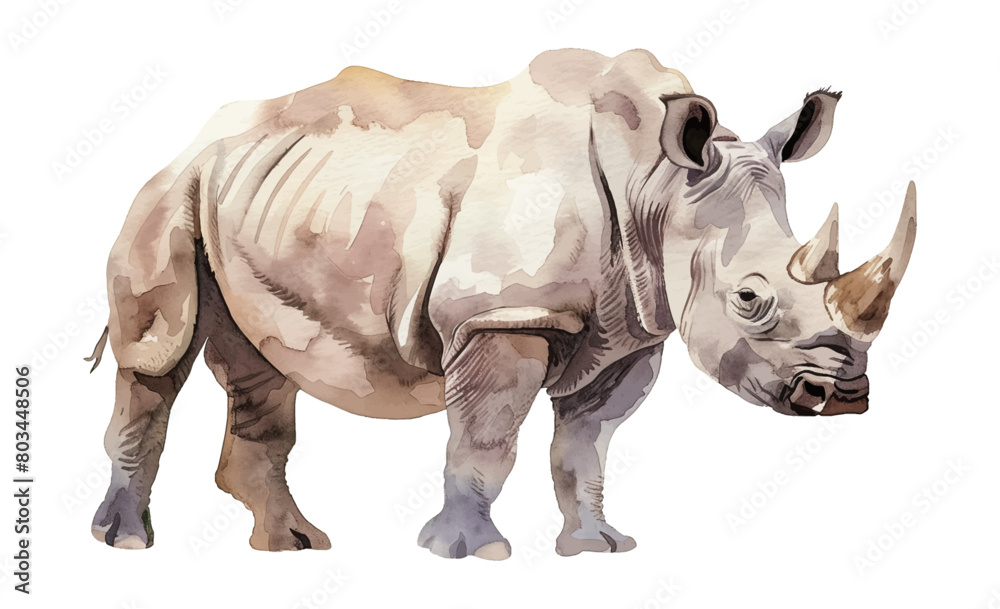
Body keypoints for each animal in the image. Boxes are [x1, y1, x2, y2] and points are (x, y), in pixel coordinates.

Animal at [89, 48, 916, 559]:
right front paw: (469, 553)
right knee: (159, 350)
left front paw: (597, 548)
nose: (844, 394)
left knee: (261, 360)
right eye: (750, 297)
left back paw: (293, 546)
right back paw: (127, 543)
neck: (656, 183)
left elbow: (585, 444)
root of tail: (198, 137)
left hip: (262, 197)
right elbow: (488, 436)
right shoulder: (503, 313)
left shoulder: (632, 328)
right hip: (169, 189)